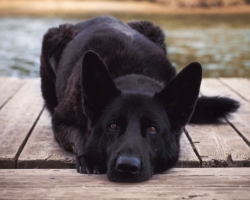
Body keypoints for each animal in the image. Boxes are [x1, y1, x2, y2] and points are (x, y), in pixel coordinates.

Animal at [40, 16, 239, 183]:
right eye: (113, 126)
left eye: (152, 129)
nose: (127, 167)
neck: (134, 76)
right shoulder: (60, 120)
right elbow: (79, 135)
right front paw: (89, 157)